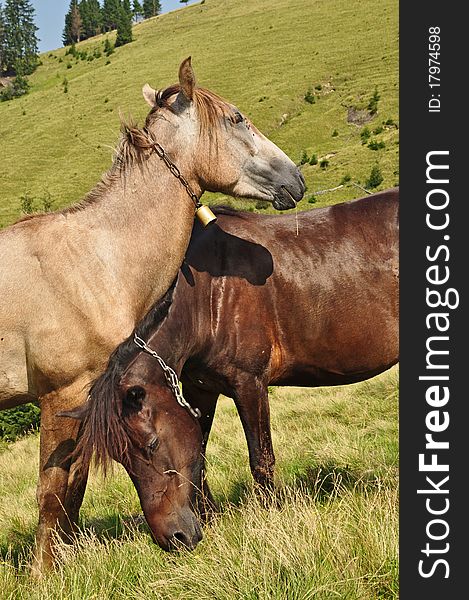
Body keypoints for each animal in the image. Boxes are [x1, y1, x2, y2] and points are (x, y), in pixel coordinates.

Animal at [0, 57, 304, 572]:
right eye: (236, 118)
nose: (296, 179)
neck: (95, 260)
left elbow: (74, 488)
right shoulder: (60, 396)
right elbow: (51, 491)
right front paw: (44, 573)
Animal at [64, 188, 396, 548]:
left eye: (150, 444)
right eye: (121, 458)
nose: (174, 538)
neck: (208, 298)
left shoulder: (249, 384)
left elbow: (261, 459)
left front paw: (272, 519)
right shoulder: (200, 391)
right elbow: (199, 456)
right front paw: (210, 517)